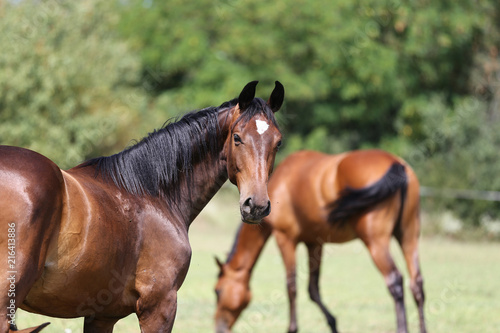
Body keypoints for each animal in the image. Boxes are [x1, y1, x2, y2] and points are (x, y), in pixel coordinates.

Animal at [0, 81, 286, 332]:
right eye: (237, 138)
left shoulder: (101, 315)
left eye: (278, 142)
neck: (151, 194)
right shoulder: (159, 305)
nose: (257, 205)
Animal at [215, 150, 426, 332]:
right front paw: (333, 324)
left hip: (376, 243)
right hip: (408, 238)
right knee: (417, 284)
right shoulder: (314, 244)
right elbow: (313, 289)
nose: (219, 327)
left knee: (395, 281)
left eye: (217, 291)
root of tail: (397, 165)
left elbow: (291, 287)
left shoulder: (285, 239)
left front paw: (292, 328)